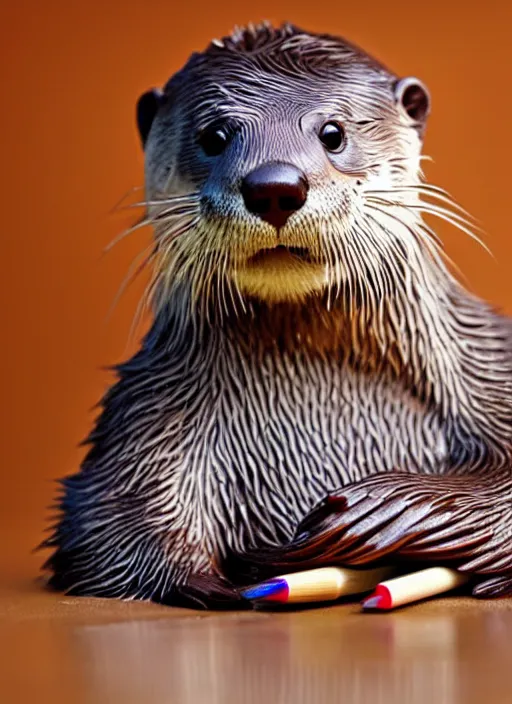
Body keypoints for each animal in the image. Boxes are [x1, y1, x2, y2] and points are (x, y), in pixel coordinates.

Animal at [42, 20, 510, 604]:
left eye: (333, 133)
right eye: (215, 137)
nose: (275, 186)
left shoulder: (491, 367)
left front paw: (383, 509)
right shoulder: (144, 418)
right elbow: (109, 525)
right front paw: (225, 585)